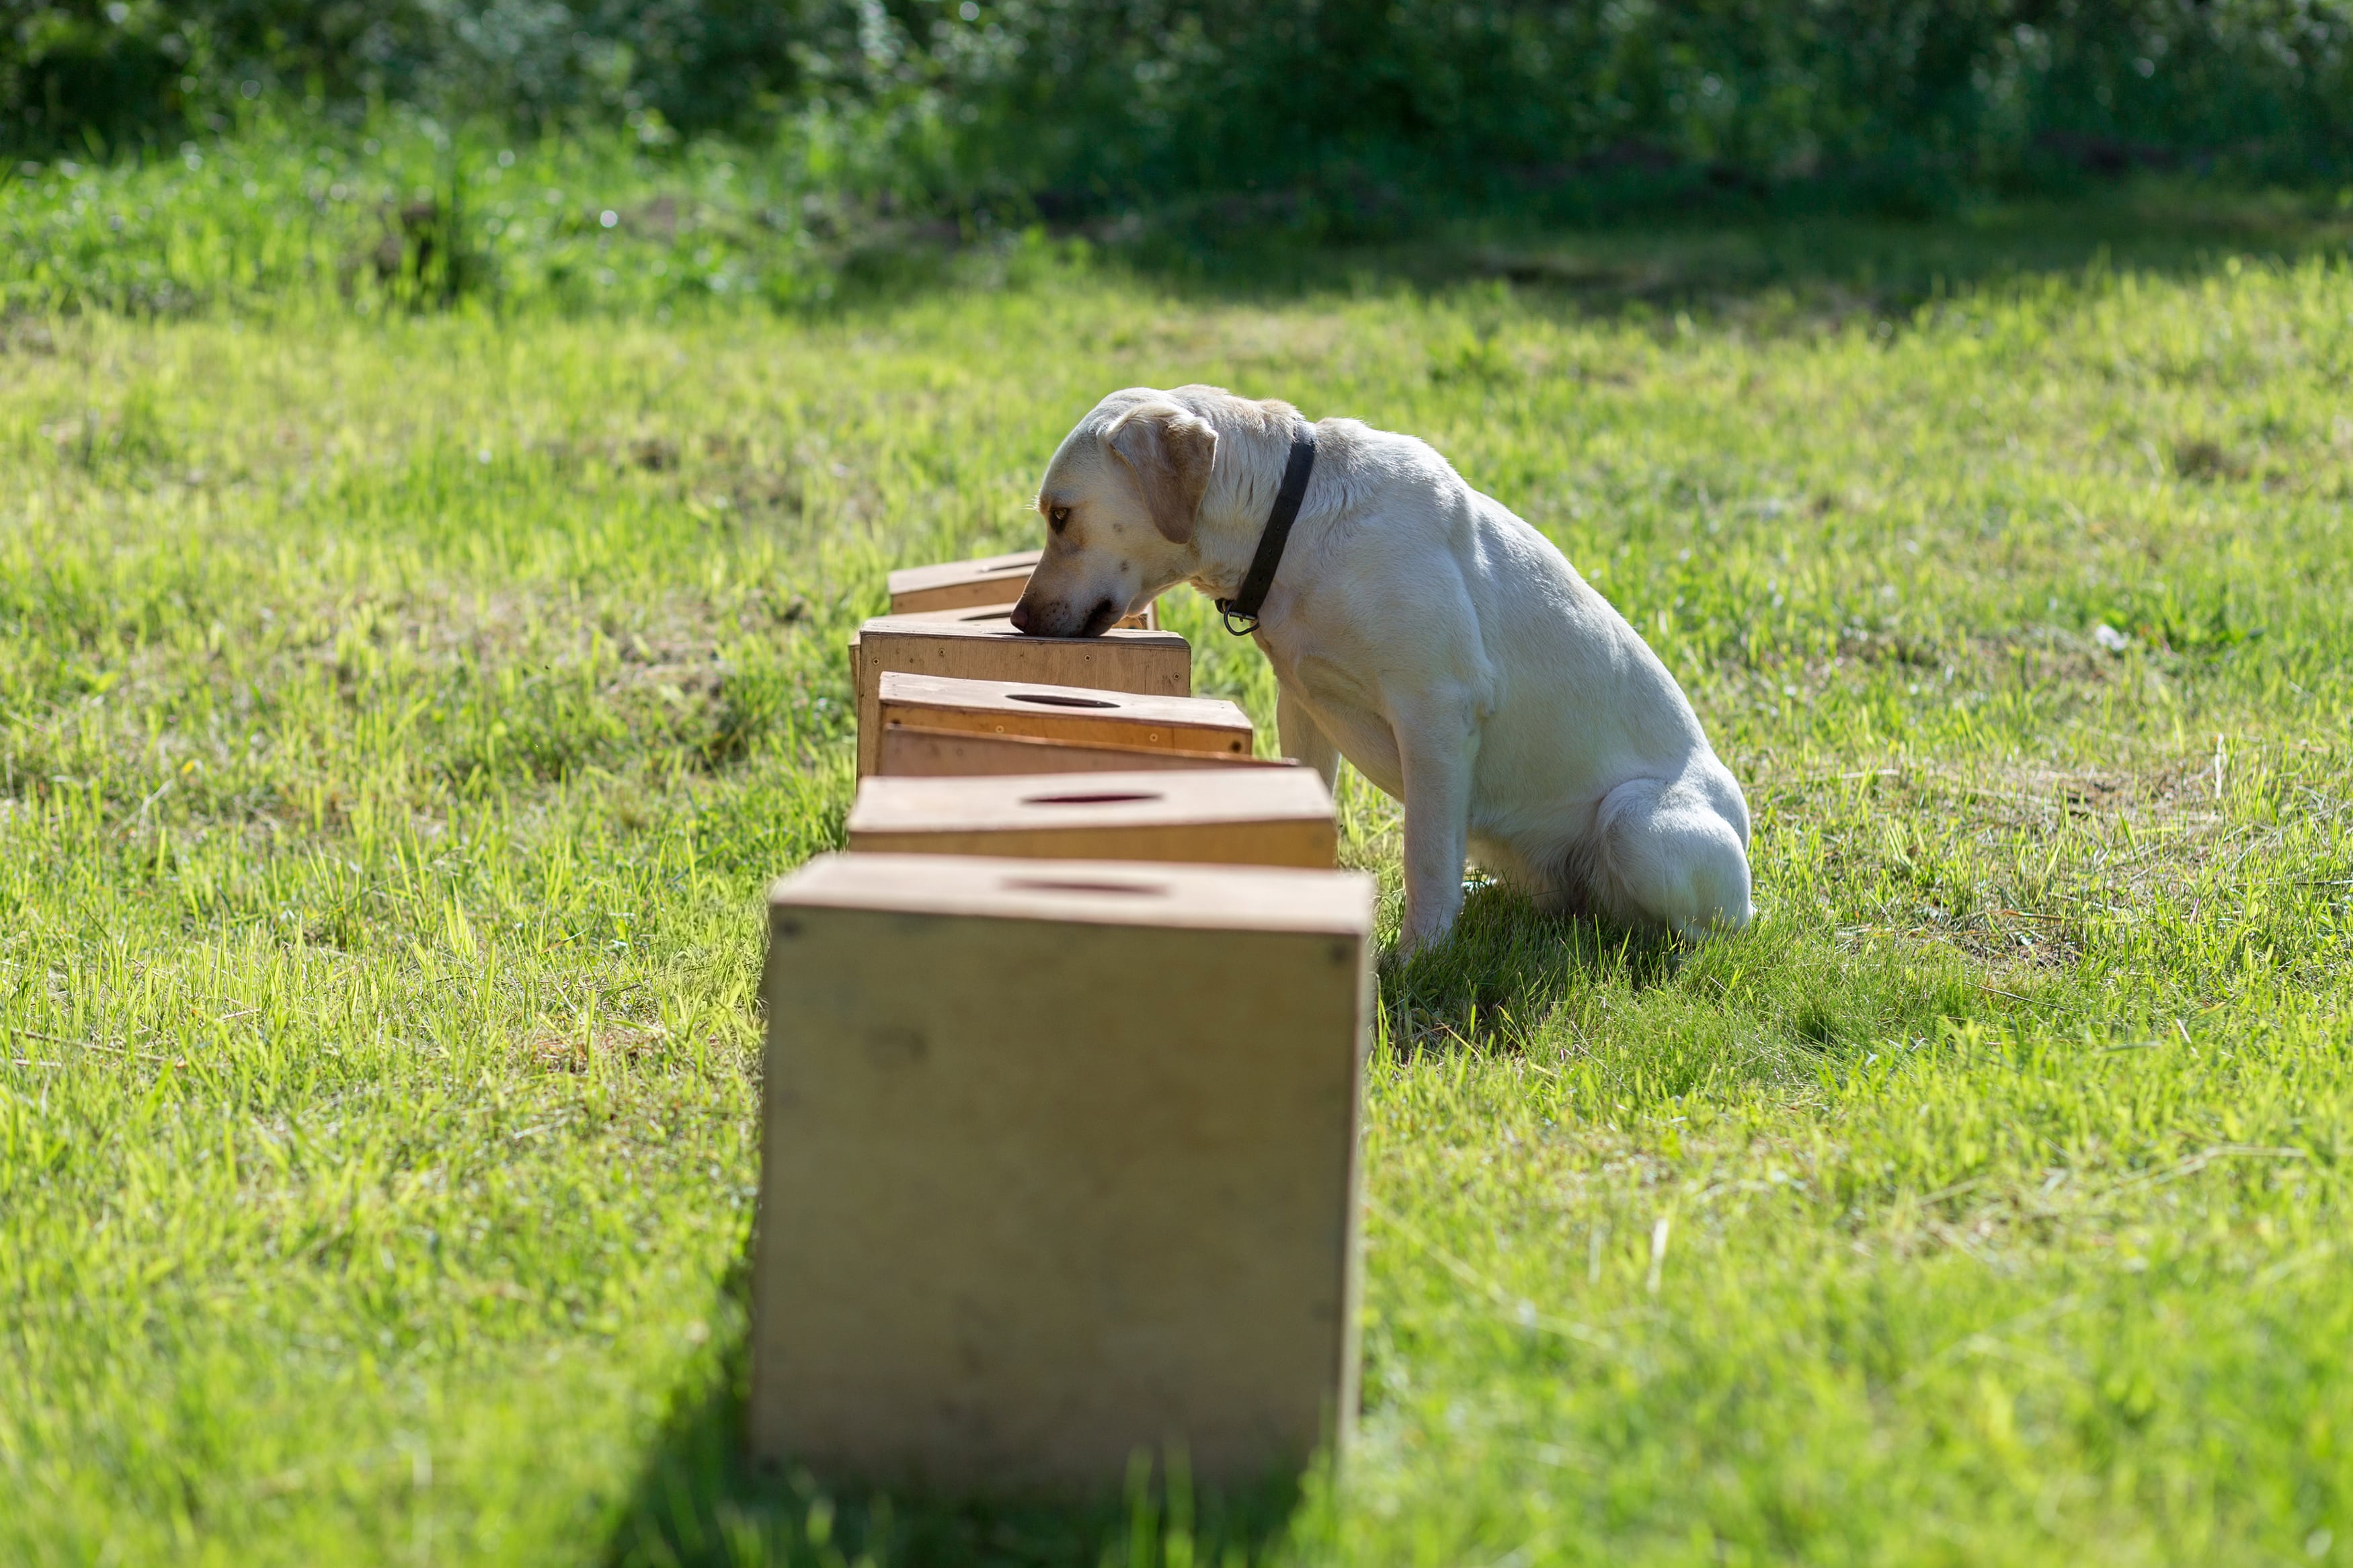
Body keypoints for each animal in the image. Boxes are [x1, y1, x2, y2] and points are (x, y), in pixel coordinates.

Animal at [1002, 393, 1760, 959]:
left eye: (1061, 515)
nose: (1017, 617)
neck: (1293, 524)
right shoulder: (1300, 707)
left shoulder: (1436, 715)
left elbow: (1423, 853)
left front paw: (1418, 956)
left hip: (1637, 825)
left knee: (1696, 930)